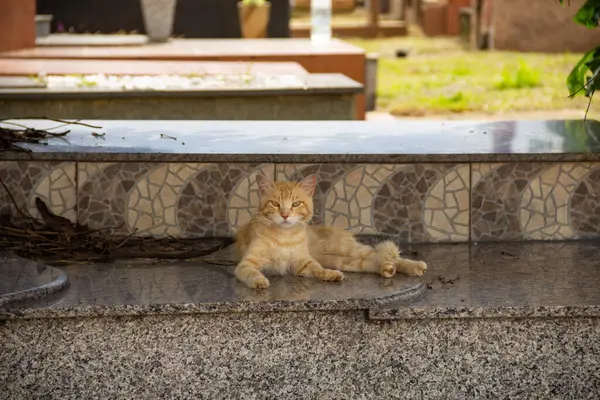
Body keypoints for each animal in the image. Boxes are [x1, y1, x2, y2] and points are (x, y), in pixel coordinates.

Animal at [234, 173, 426, 290]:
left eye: (296, 204)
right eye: (275, 203)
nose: (285, 215)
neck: (285, 237)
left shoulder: (303, 262)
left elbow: (318, 269)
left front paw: (329, 274)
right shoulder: (247, 263)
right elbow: (252, 272)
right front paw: (259, 280)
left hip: (347, 249)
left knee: (389, 256)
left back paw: (415, 266)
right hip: (344, 261)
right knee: (374, 262)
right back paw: (386, 269)